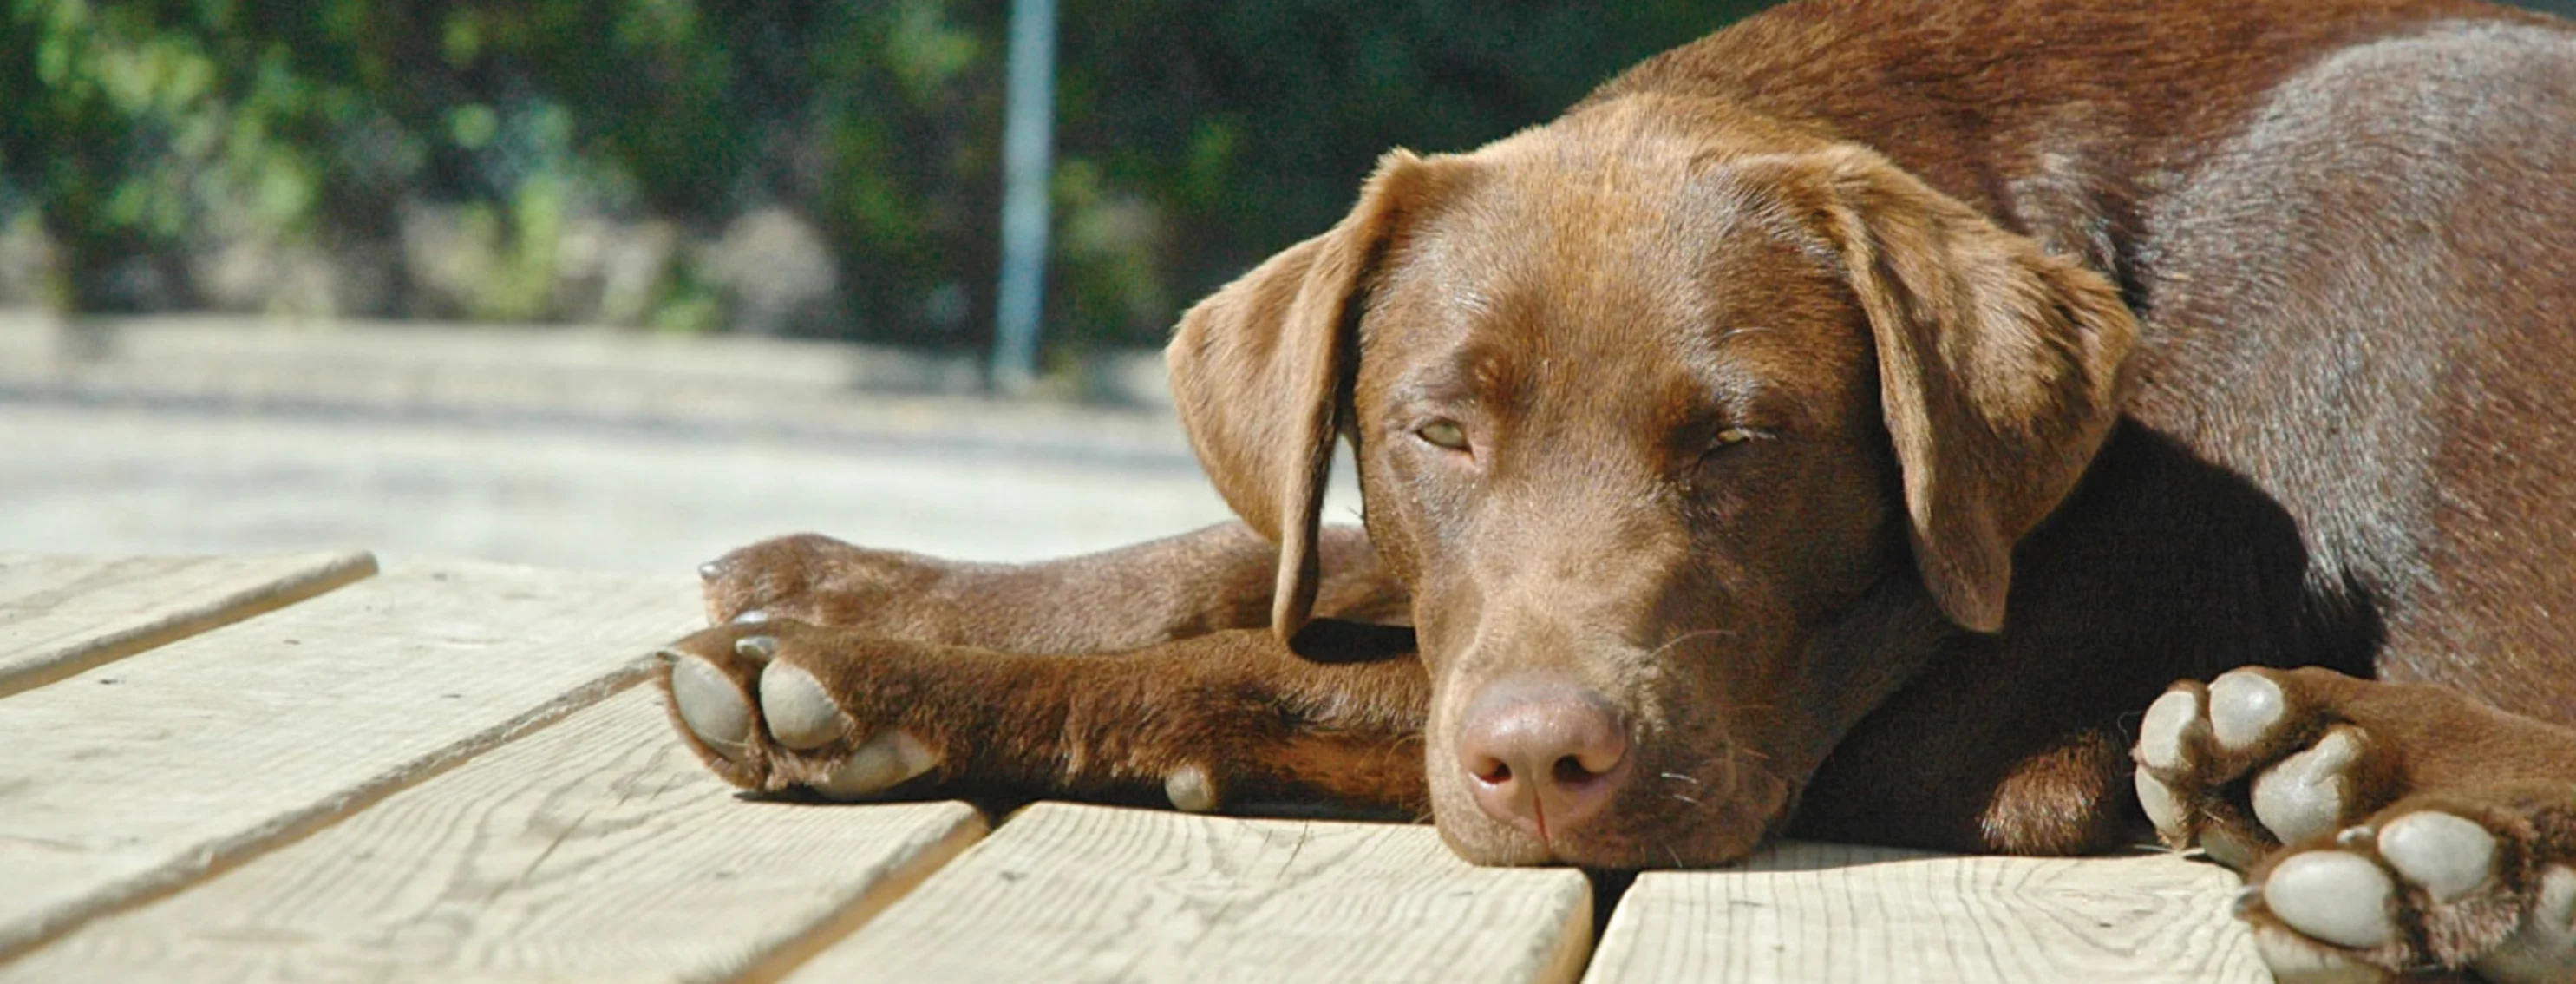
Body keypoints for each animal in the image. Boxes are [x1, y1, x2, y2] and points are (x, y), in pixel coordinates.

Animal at [659, 3, 2576, 979]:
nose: (1542, 766)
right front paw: (838, 574)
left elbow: (1269, 661)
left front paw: (874, 680)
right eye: (1439, 431)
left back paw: (2390, 819)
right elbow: (1264, 552)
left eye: (1744, 442)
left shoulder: (1920, 714)